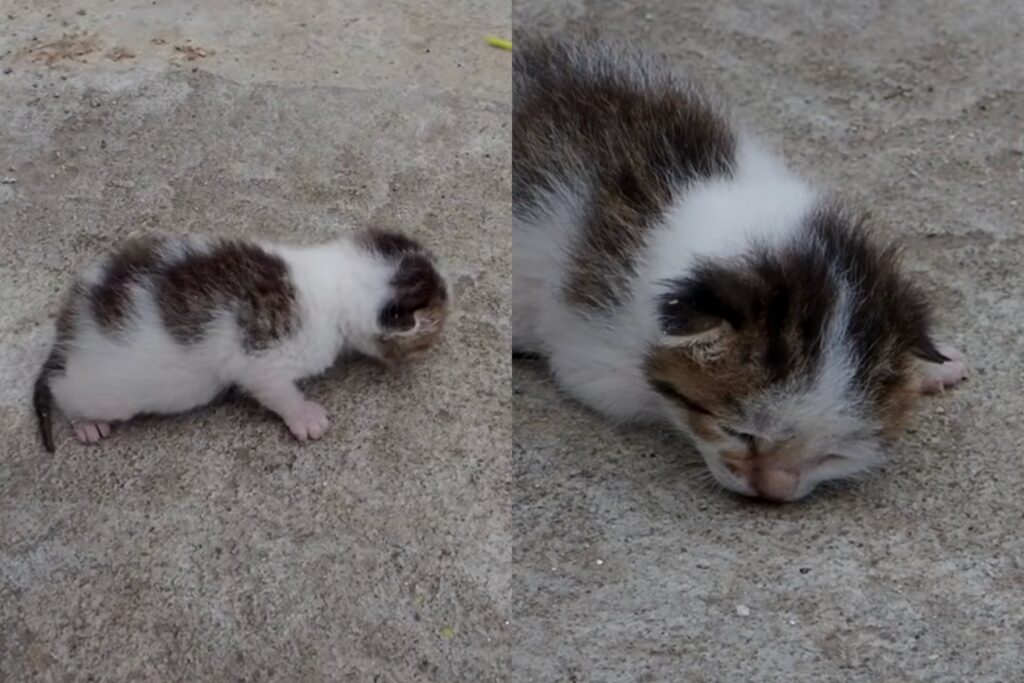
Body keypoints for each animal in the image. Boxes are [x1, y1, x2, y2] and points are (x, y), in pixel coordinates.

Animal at [33, 229, 448, 454]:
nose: (433, 347)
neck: (330, 280)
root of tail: (71, 325)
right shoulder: (264, 359)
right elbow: (275, 389)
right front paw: (304, 416)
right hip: (106, 389)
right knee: (60, 387)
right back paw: (86, 422)